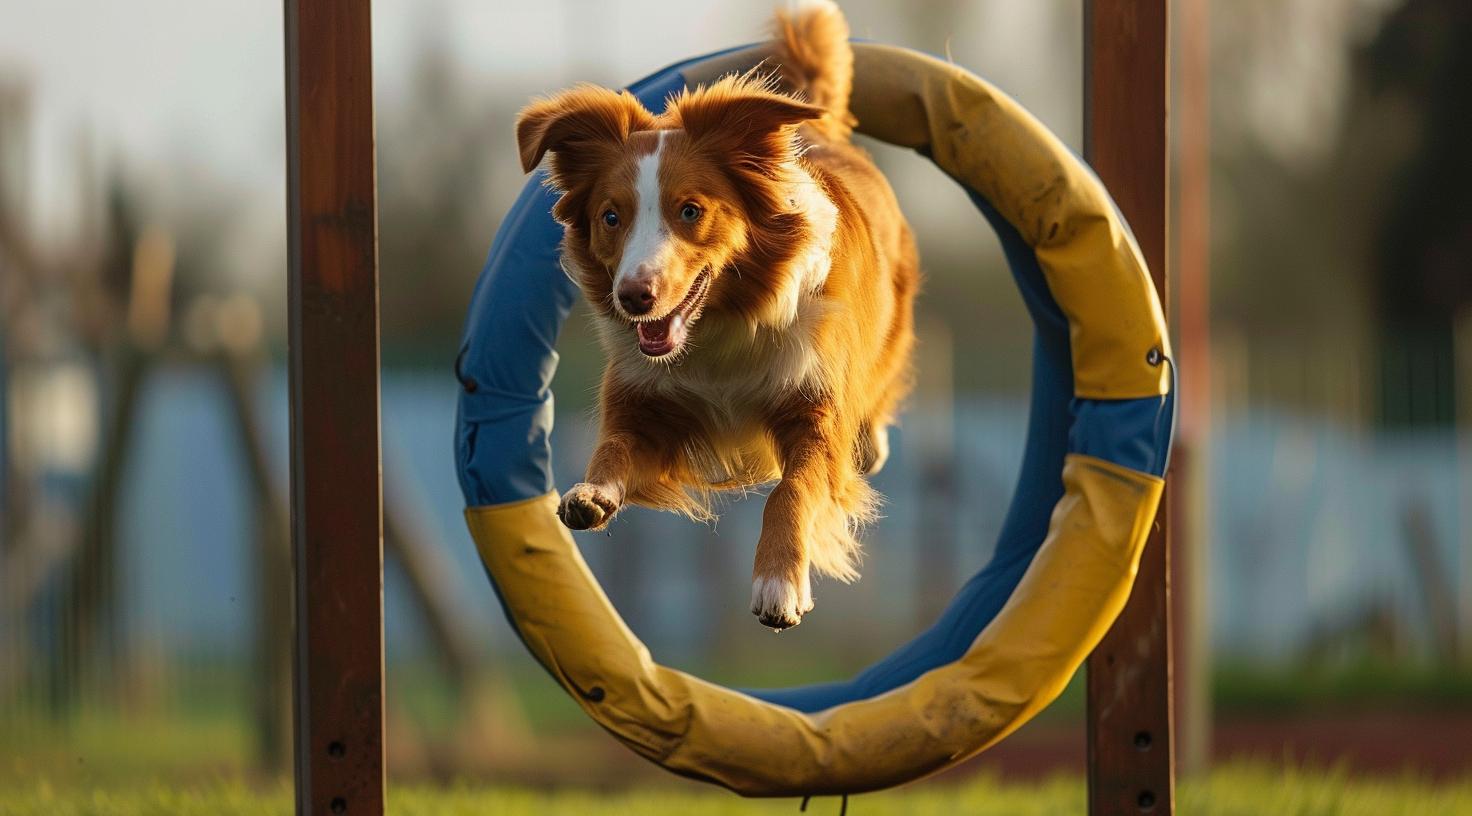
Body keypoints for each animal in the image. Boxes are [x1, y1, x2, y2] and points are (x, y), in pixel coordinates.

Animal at [512, 0, 912, 627]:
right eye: (610, 216)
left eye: (690, 211)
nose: (634, 297)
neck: (718, 331)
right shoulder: (646, 402)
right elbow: (615, 445)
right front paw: (592, 494)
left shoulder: (812, 405)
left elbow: (791, 489)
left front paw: (778, 583)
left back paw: (870, 444)